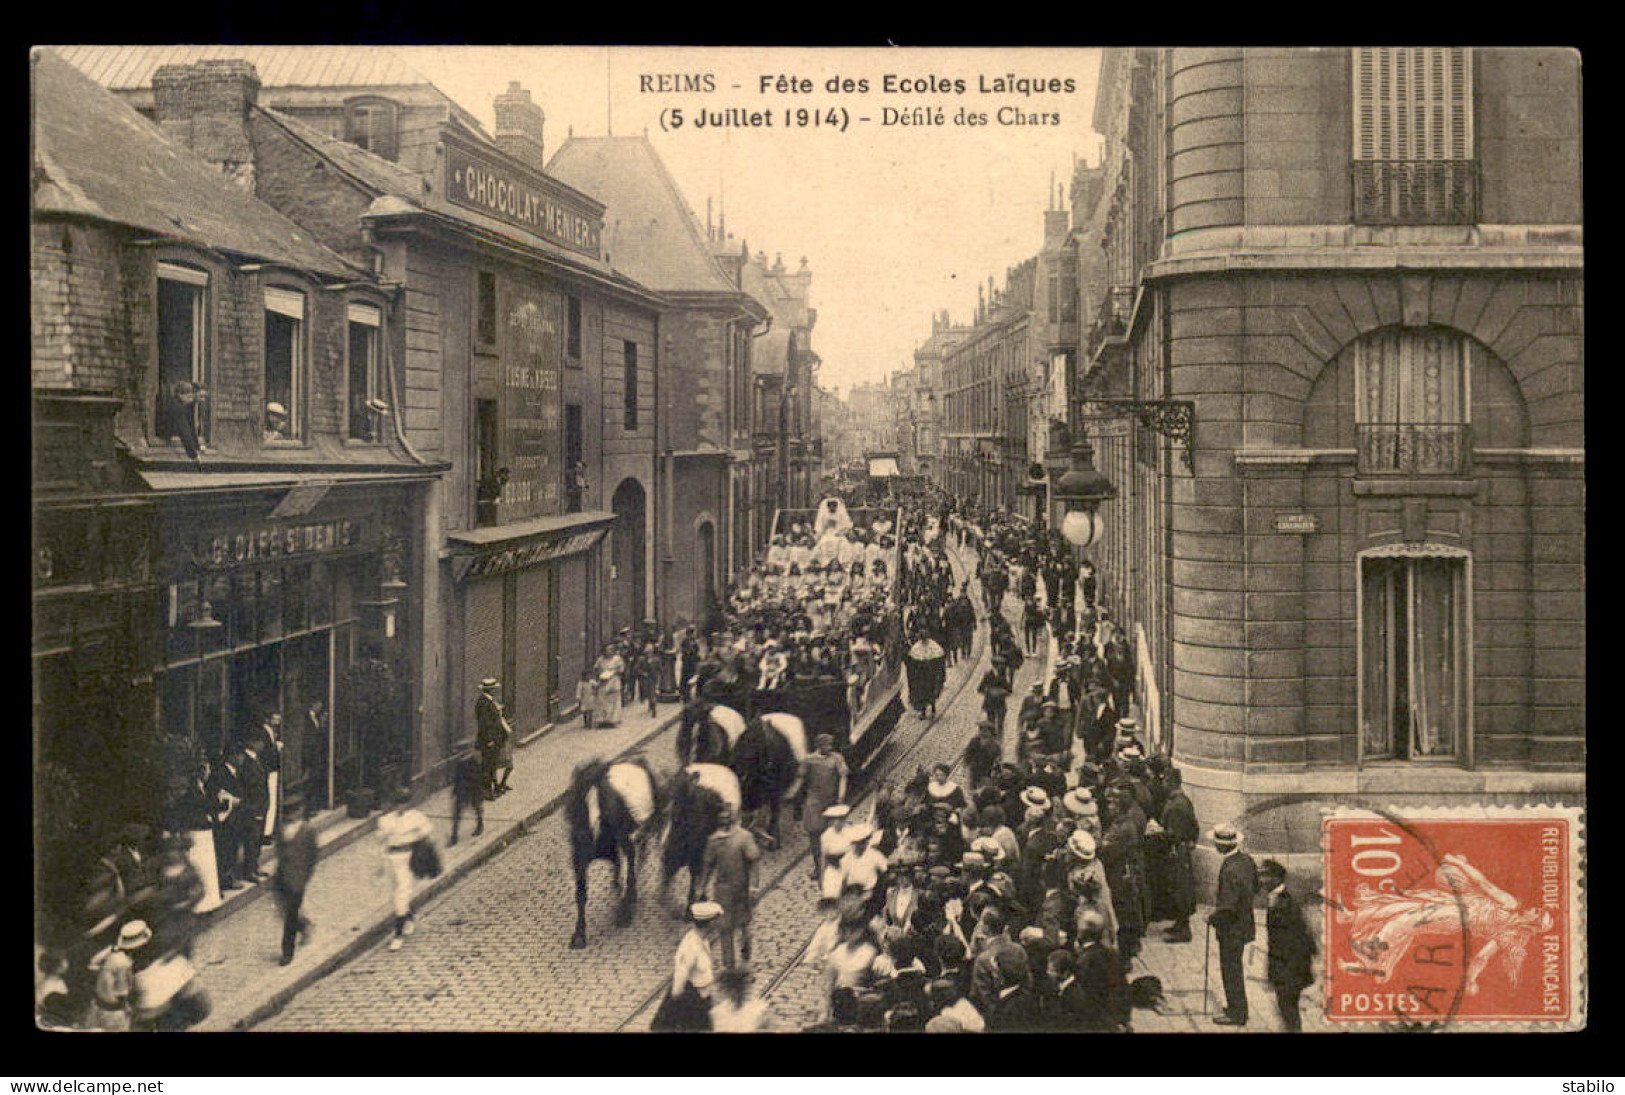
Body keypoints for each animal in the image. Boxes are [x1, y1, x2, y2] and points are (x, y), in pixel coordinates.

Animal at [568, 750, 663, 948]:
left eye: (603, 797)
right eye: (573, 805)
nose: (583, 838)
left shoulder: (625, 842)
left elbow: (629, 871)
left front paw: (625, 910)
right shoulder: (579, 859)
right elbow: (581, 894)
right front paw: (579, 934)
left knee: (640, 854)